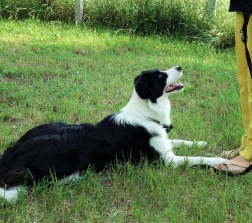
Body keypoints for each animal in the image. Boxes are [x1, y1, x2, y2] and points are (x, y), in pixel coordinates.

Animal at [0, 66, 225, 202]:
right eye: (161, 75)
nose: (179, 67)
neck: (145, 112)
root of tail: (12, 153)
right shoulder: (168, 161)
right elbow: (198, 158)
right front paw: (221, 160)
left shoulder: (164, 142)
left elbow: (183, 141)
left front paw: (202, 142)